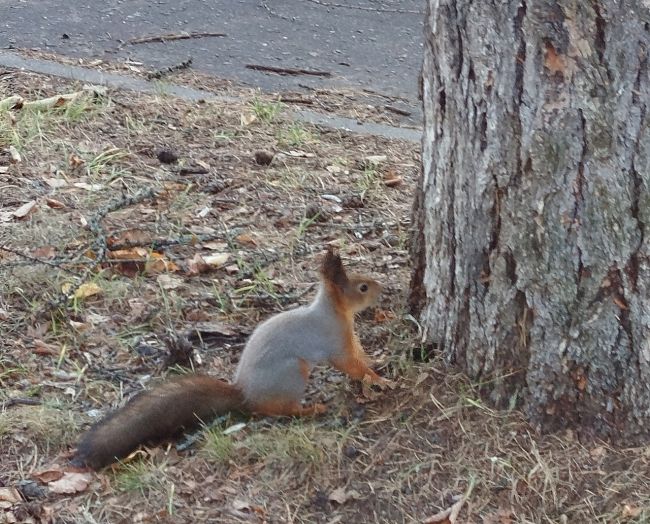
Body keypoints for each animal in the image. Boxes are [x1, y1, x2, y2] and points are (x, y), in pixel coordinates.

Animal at [74, 248, 390, 468]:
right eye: (362, 287)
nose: (383, 288)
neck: (334, 312)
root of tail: (244, 393)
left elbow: (360, 356)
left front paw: (377, 365)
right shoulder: (333, 342)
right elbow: (350, 365)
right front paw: (379, 380)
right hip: (292, 373)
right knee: (277, 410)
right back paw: (311, 410)